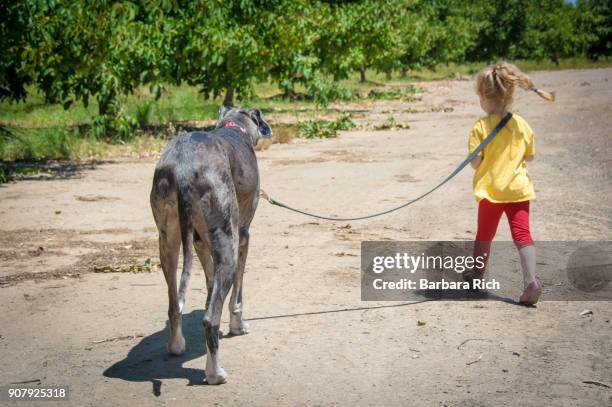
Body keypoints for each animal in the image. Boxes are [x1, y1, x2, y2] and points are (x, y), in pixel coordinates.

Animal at [149, 106, 272, 386]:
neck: (234, 127)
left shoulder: (198, 241)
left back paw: (176, 345)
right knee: (209, 320)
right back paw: (214, 373)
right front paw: (238, 325)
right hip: (228, 245)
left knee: (174, 305)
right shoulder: (243, 236)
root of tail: (183, 169)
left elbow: (210, 281)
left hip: (168, 242)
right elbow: (237, 294)